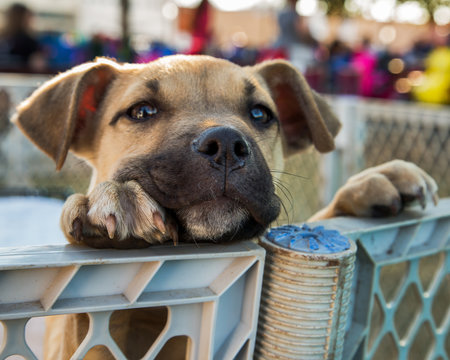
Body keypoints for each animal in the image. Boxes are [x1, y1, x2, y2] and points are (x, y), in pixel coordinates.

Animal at [13, 54, 436, 358]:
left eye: (261, 114)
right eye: (141, 111)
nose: (228, 145)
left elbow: (313, 221)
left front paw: (373, 183)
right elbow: (90, 324)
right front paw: (114, 198)